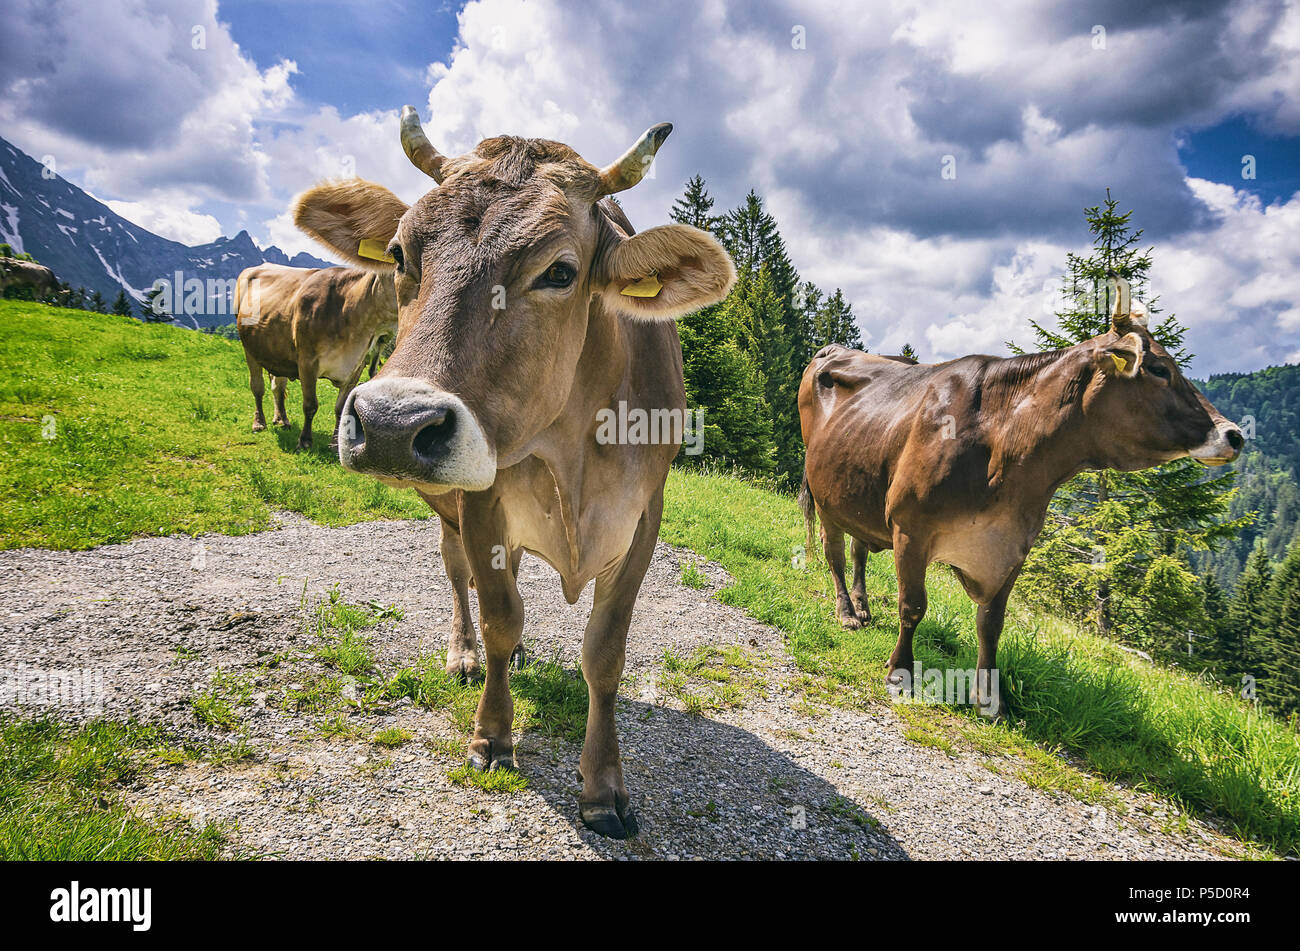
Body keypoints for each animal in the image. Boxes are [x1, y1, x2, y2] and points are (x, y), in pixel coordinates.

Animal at [233, 263, 395, 449]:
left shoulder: (357, 367)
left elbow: (341, 408)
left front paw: (335, 444)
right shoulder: (307, 361)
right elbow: (310, 405)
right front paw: (304, 441)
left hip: (277, 352)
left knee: (278, 387)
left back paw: (282, 419)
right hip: (249, 348)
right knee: (257, 387)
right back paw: (259, 423)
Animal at [296, 103, 743, 836]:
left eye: (559, 272)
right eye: (401, 254)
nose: (391, 423)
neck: (575, 455)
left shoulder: (645, 517)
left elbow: (604, 652)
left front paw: (604, 787)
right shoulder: (482, 502)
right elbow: (501, 615)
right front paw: (492, 735)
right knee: (461, 579)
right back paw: (465, 651)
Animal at [795, 278, 1242, 717]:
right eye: (1159, 369)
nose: (1234, 434)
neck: (1004, 446)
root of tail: (834, 349)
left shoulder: (1012, 544)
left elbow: (992, 622)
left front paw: (990, 700)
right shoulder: (910, 527)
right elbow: (913, 606)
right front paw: (899, 674)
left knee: (859, 549)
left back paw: (863, 606)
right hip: (824, 492)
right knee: (835, 553)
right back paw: (847, 614)